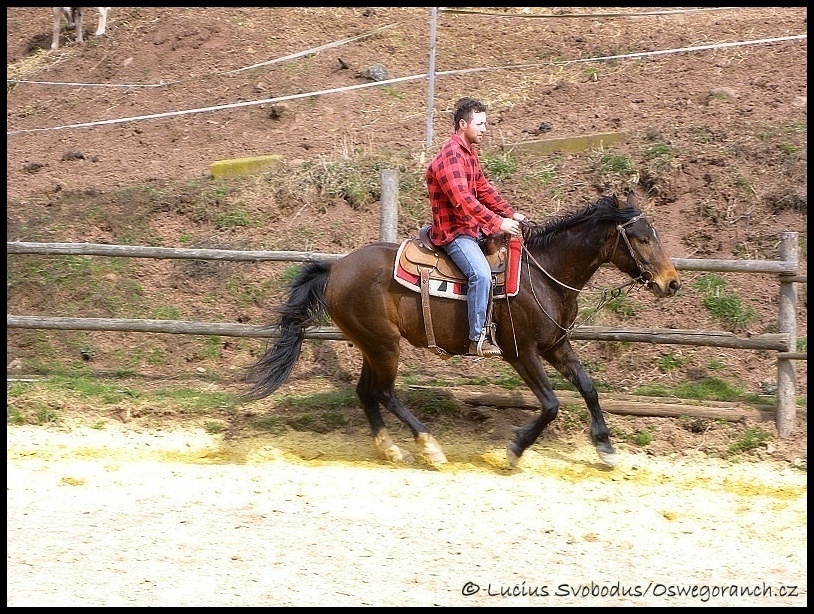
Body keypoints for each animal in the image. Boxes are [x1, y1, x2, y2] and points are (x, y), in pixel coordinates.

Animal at [244, 192, 684, 466]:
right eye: (641, 239)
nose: (672, 283)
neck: (543, 274)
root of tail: (335, 268)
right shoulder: (521, 352)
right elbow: (551, 404)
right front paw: (514, 449)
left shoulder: (556, 345)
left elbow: (589, 388)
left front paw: (606, 448)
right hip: (385, 346)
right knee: (383, 392)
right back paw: (429, 446)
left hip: (374, 344)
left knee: (367, 393)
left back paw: (391, 450)